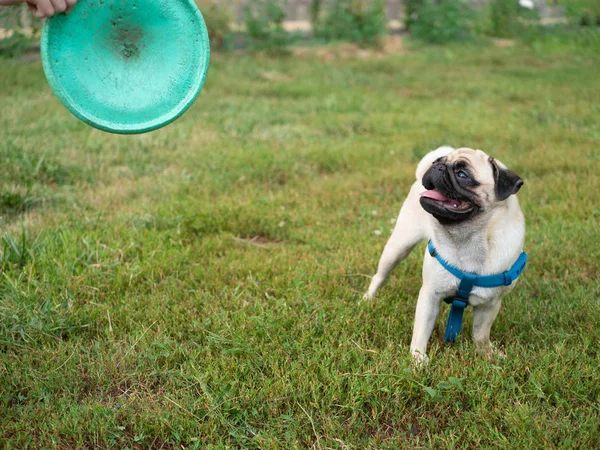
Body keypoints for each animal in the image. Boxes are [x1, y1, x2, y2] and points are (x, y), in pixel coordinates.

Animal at [360, 146, 524, 364]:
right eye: (438, 162)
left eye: (463, 175)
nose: (438, 167)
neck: (466, 239)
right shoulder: (430, 295)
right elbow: (421, 330)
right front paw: (418, 359)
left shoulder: (490, 304)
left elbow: (481, 333)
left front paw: (487, 354)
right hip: (397, 247)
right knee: (379, 276)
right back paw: (367, 299)